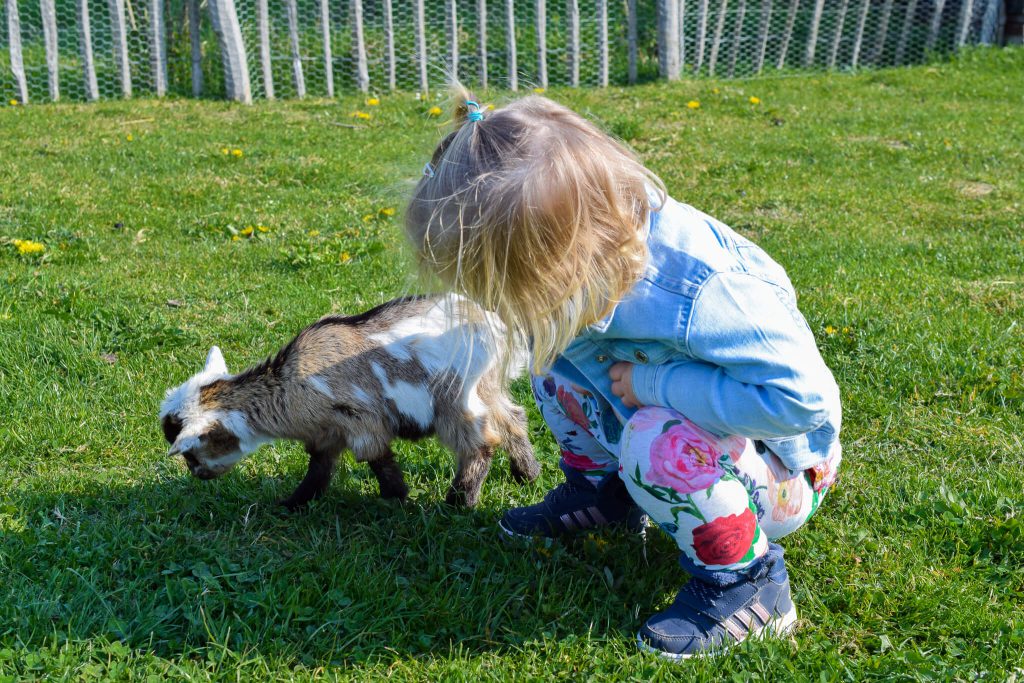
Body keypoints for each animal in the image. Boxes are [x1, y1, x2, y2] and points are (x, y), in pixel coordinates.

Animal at [156, 296, 540, 509]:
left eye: (191, 454)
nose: (199, 476)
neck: (291, 386)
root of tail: (496, 325)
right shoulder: (326, 431)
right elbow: (319, 467)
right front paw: (293, 503)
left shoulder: (360, 419)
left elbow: (376, 457)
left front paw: (396, 498)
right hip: (488, 386)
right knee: (513, 417)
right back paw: (527, 474)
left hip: (456, 398)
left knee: (480, 442)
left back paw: (460, 502)